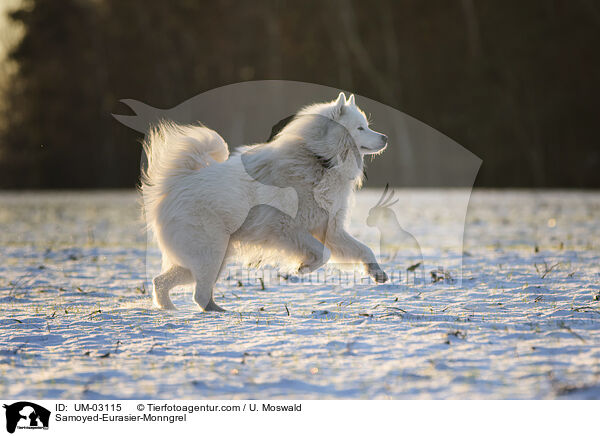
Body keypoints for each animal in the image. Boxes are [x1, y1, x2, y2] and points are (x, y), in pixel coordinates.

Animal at [144, 93, 392, 310]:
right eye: (360, 128)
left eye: (366, 125)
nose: (386, 137)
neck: (320, 160)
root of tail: (176, 183)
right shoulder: (286, 228)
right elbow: (323, 254)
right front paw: (303, 267)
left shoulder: (330, 230)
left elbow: (364, 249)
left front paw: (377, 272)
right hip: (210, 254)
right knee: (198, 294)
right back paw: (216, 312)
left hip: (209, 258)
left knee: (162, 282)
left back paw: (171, 309)